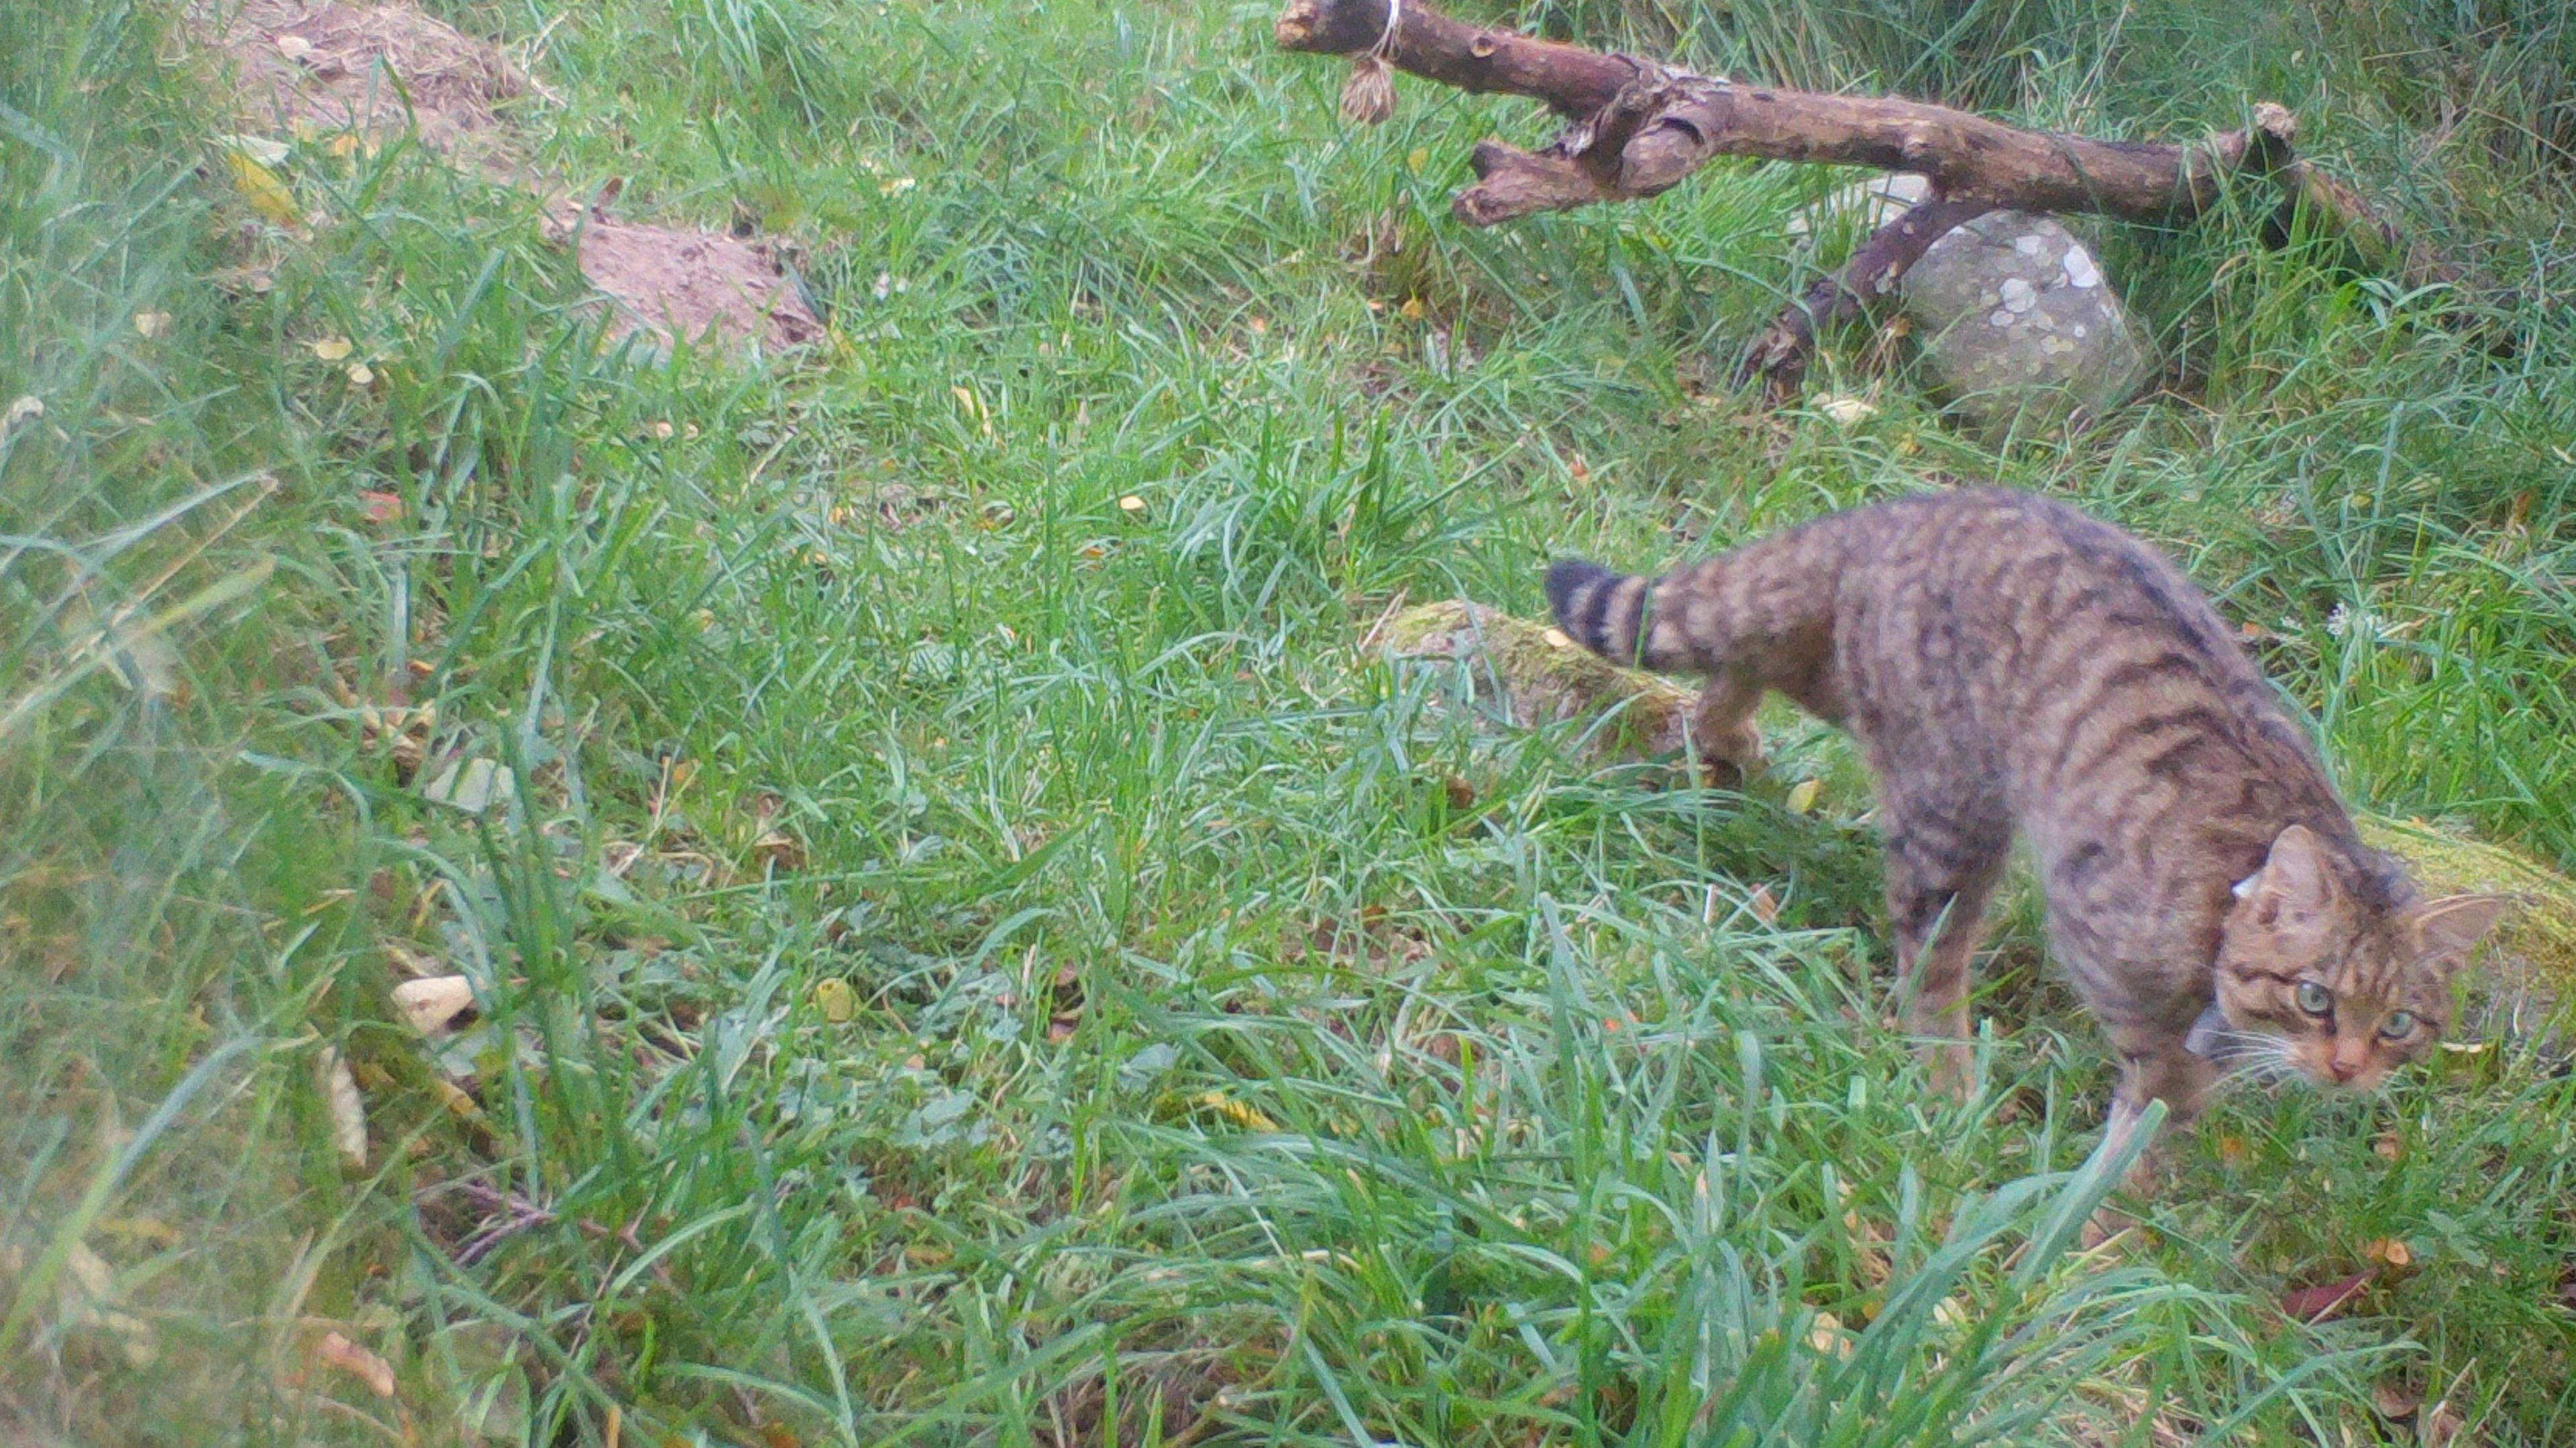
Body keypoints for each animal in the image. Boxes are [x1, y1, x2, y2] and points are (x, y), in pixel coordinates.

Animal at [1546, 489, 2493, 1154]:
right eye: (2314, 997)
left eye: (2399, 1022)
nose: (2347, 1068)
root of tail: (1903, 513)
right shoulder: (2119, 973)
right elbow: (2142, 1117)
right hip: (1951, 805)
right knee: (1930, 968)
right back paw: (1949, 1089)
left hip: (1859, 691)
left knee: (1745, 656)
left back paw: (1724, 734)